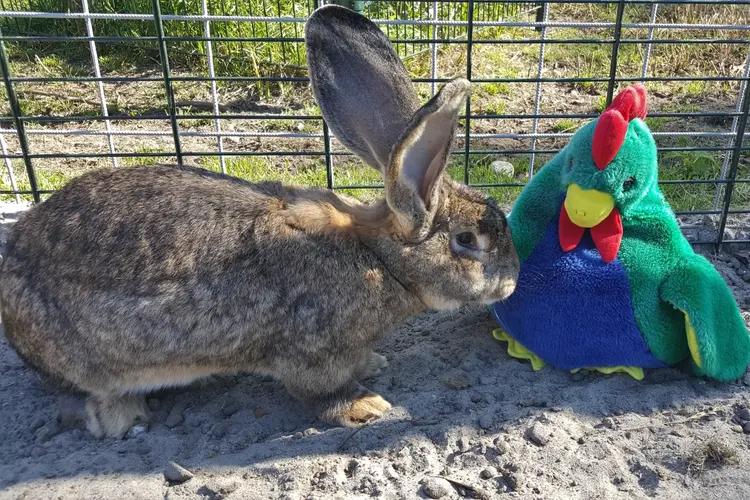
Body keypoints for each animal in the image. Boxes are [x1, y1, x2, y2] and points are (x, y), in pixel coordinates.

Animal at [0, 4, 520, 438]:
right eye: (467, 239)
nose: (512, 283)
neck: (379, 258)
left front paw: (373, 362)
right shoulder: (312, 350)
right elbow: (319, 392)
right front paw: (366, 406)